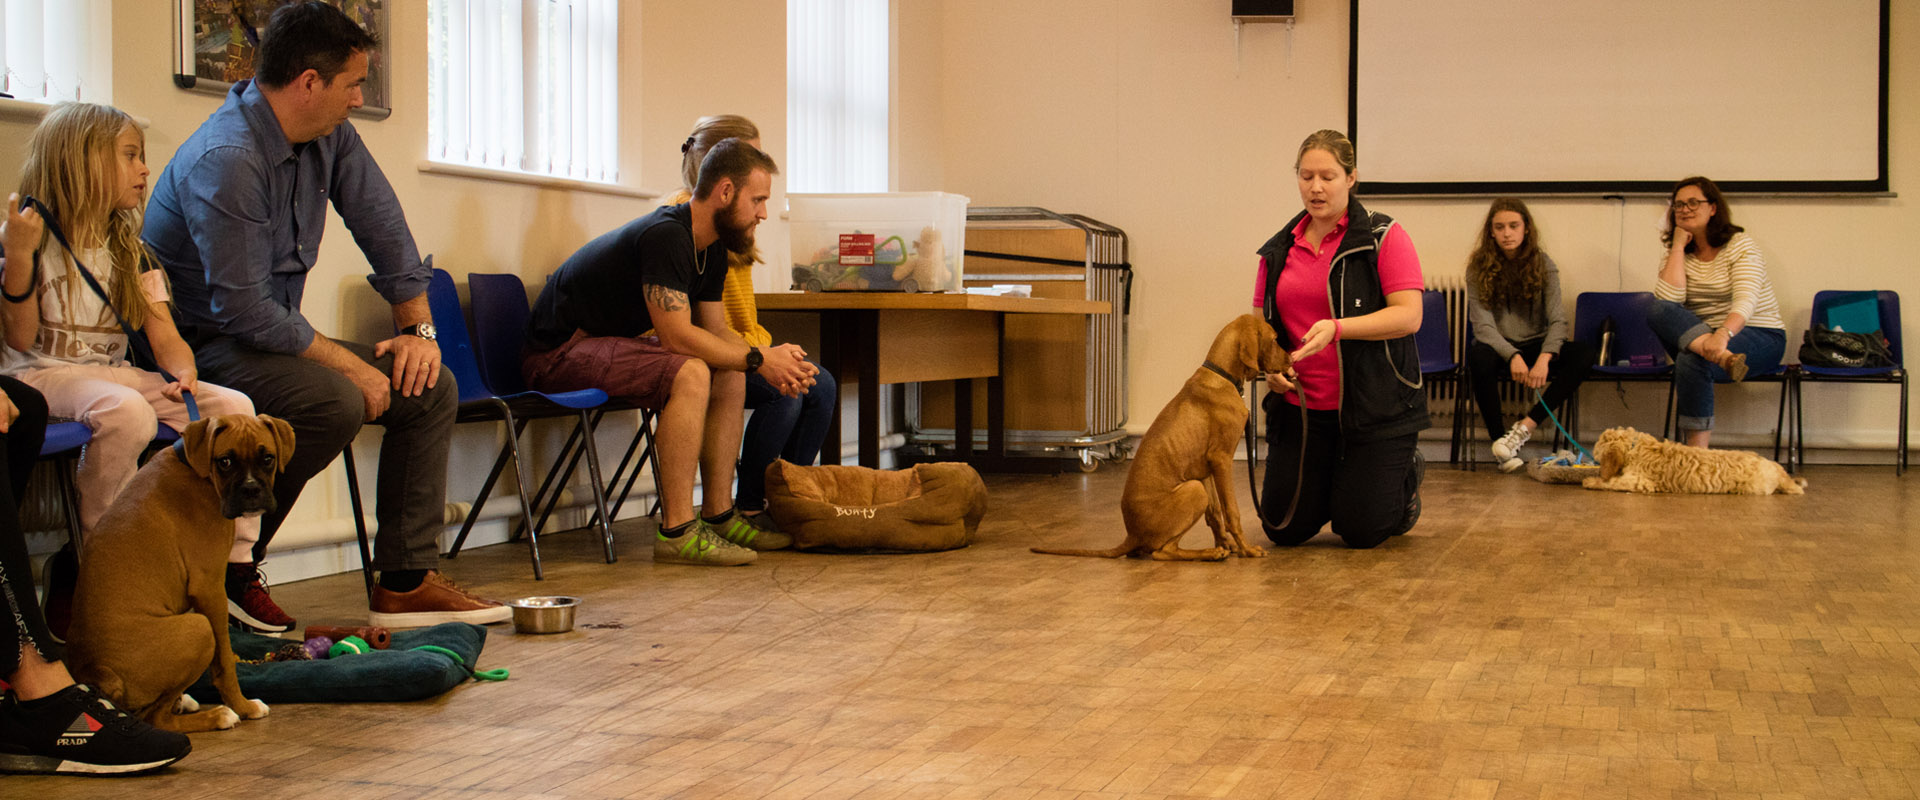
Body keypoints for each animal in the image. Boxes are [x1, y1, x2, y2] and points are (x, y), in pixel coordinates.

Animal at [68, 414, 293, 732]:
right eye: (225, 461)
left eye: (268, 458)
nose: (251, 490)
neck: (197, 469)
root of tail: (98, 670)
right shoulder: (210, 588)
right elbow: (225, 661)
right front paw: (244, 706)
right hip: (199, 629)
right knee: (157, 718)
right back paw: (218, 715)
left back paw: (183, 701)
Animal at [1036, 314, 1290, 556]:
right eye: (1275, 339)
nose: (1290, 359)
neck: (1222, 376)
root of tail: (1132, 535)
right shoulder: (1221, 459)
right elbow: (1232, 511)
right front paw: (1246, 549)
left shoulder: (1205, 468)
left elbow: (1215, 513)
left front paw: (1227, 545)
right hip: (1193, 490)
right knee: (1163, 551)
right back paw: (1208, 553)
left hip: (1195, 484)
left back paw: (1215, 551)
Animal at [1582, 423, 1804, 491]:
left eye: (1597, 455)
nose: (1599, 471)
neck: (1635, 447)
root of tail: (1778, 469)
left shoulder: (1638, 481)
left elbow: (1612, 482)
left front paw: (1591, 481)